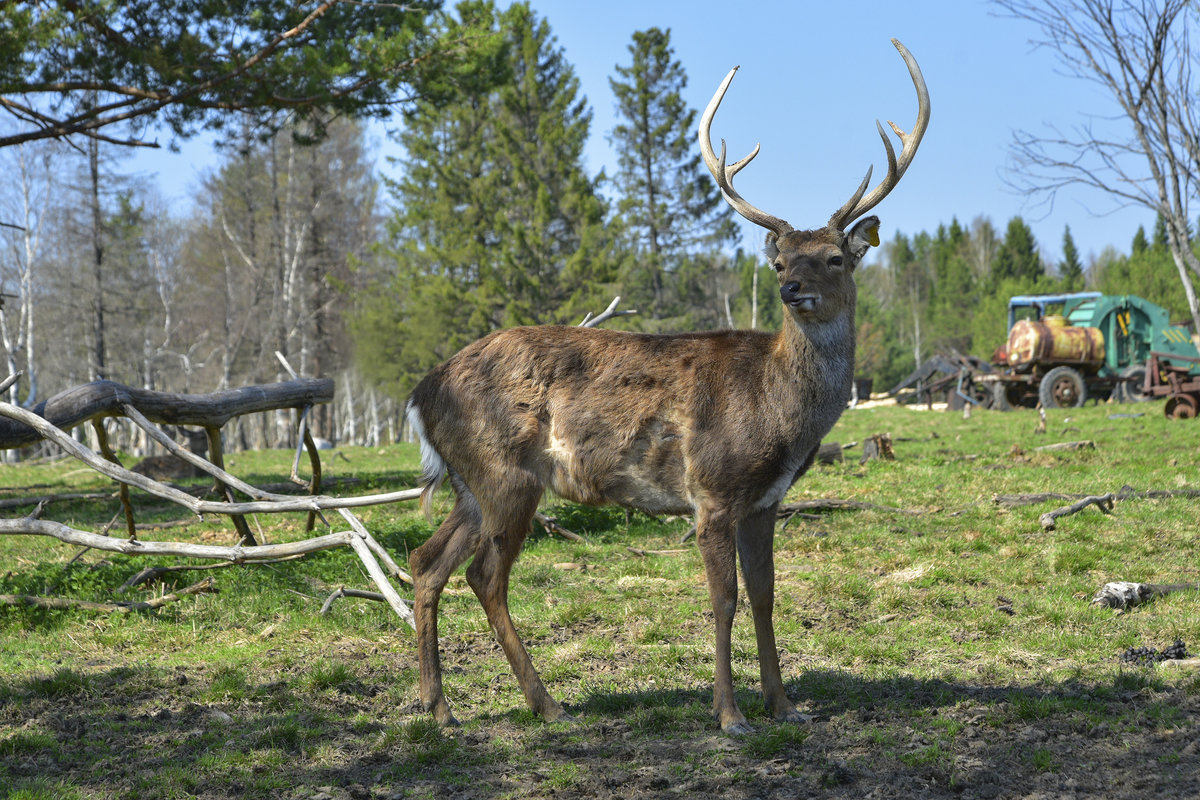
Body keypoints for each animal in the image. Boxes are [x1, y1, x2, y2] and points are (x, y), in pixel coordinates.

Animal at [403, 38, 926, 738]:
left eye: (836, 258)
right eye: (778, 262)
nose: (794, 290)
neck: (781, 415)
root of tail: (421, 393)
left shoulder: (765, 501)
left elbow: (766, 595)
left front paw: (785, 705)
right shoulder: (712, 492)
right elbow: (725, 599)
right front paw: (730, 715)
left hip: (469, 484)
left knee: (426, 562)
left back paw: (442, 708)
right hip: (505, 474)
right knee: (485, 575)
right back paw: (547, 704)